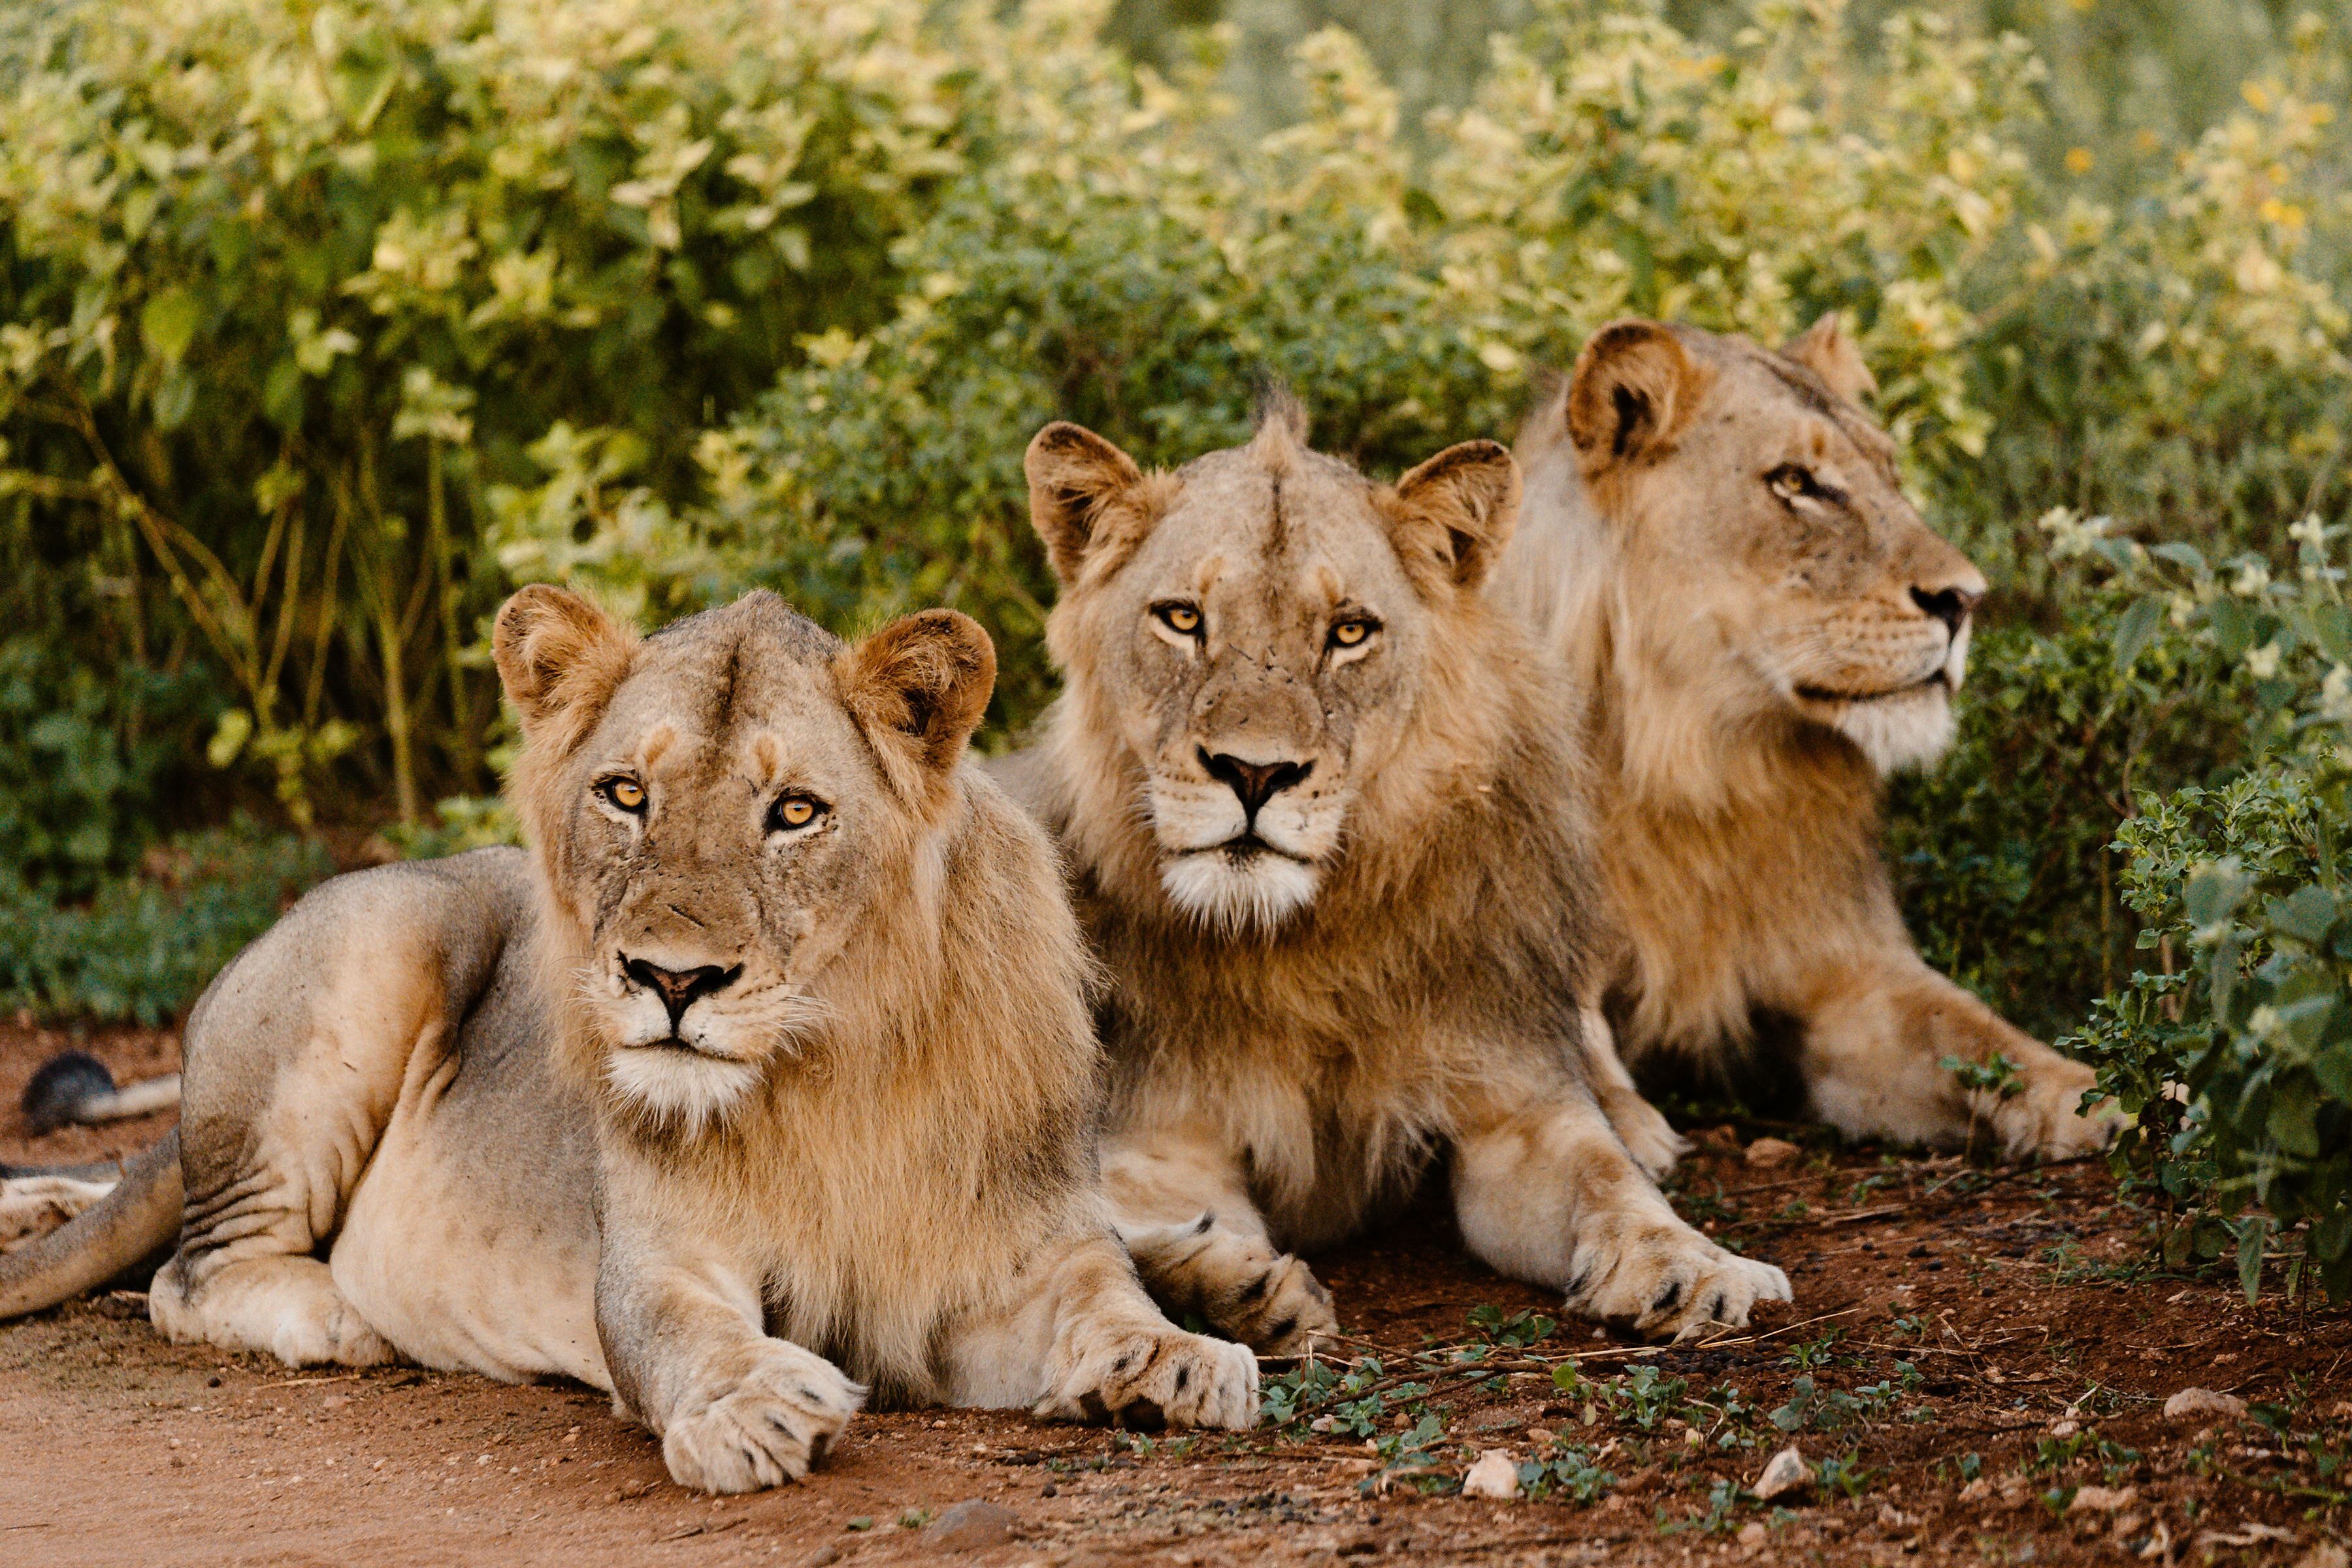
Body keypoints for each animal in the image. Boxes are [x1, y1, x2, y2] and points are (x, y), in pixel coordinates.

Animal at [0, 587, 1256, 1492]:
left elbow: (1104, 1294)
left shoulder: (1013, 1258)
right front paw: (753, 1404)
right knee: (188, 1273)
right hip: (381, 940)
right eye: (625, 795)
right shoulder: (659, 1259)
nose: (670, 979)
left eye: (794, 812)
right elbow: (686, 1337)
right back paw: (343, 1314)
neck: (829, 1070)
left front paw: (1176, 1355)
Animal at [991, 400, 1791, 1353]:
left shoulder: (1518, 1106)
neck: (1307, 942)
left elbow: (1611, 1181)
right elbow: (1132, 1224)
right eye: (1183, 619)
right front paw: (1229, 1282)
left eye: (1349, 632)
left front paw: (1697, 1267)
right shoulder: (1159, 1139)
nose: (1254, 773)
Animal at [1496, 315, 2119, 1159]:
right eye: (1795, 482)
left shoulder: (1845, 974)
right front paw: (1623, 1123)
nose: (1966, 599)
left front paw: (2103, 1093)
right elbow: (1567, 1047)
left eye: (1891, 473)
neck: (1702, 769)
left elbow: (1972, 1028)